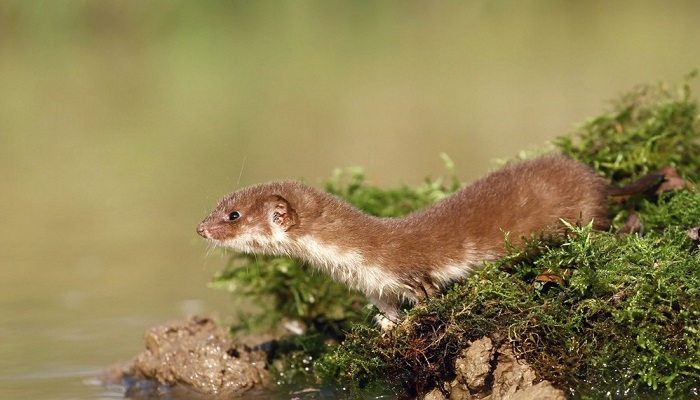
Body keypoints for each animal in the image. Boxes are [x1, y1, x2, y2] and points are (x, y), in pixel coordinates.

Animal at [196, 155, 608, 330]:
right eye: (217, 204)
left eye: (232, 215)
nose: (200, 228)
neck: (355, 262)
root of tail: (595, 179)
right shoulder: (375, 286)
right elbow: (385, 308)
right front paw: (388, 325)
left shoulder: (411, 272)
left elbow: (428, 296)